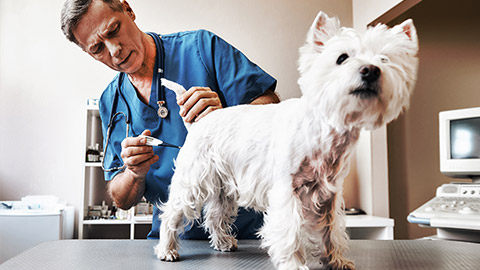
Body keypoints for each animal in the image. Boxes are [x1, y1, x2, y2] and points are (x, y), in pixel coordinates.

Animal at [154, 11, 416, 270]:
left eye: (385, 60)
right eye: (342, 58)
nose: (370, 70)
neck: (323, 129)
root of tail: (200, 122)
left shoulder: (330, 195)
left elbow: (332, 230)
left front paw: (337, 261)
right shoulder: (287, 190)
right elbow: (290, 231)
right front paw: (294, 264)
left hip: (223, 187)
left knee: (215, 215)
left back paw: (224, 242)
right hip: (193, 180)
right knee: (172, 213)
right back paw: (167, 250)